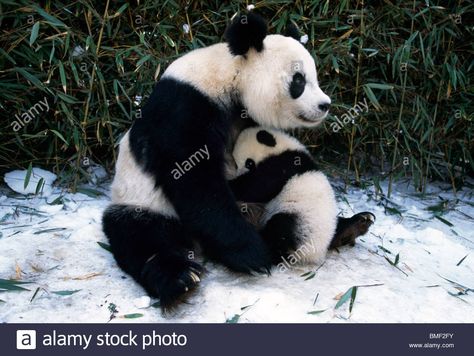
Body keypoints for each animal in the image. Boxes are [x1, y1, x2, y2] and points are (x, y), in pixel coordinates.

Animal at [103, 13, 332, 308]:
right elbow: (193, 180)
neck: (230, 75)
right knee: (141, 236)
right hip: (141, 201)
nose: (325, 105)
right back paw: (180, 279)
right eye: (299, 81)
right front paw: (253, 254)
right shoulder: (184, 106)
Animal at [228, 127, 376, 264]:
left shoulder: (282, 165)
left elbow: (256, 187)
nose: (238, 173)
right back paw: (356, 226)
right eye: (236, 163)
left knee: (280, 228)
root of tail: (315, 254)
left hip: (298, 219)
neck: (285, 148)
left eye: (249, 163)